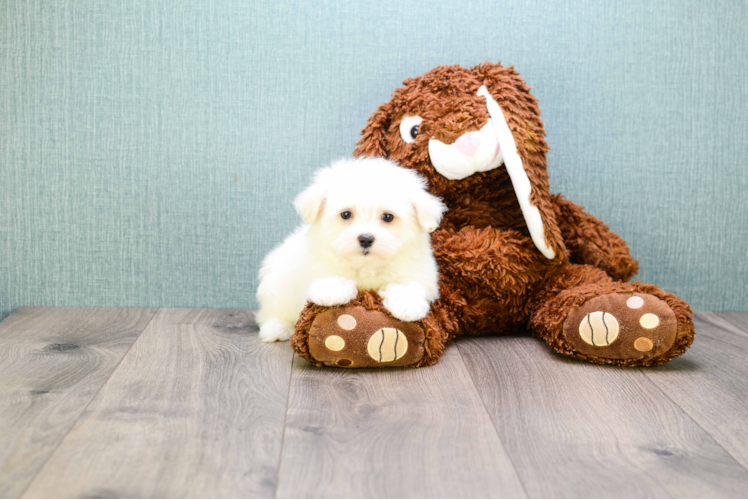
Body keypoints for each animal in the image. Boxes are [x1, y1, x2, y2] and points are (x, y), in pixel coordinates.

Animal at [256, 158, 444, 342]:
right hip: (276, 286)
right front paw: (333, 291)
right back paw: (277, 328)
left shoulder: (419, 269)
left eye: (388, 217)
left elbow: (409, 284)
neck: (366, 265)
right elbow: (324, 275)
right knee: (271, 312)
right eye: (346, 214)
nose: (366, 238)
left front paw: (407, 305)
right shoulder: (314, 264)